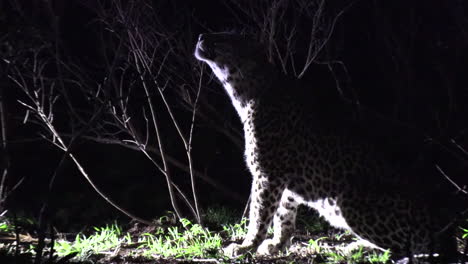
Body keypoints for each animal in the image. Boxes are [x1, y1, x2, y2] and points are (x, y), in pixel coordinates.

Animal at [194, 32, 460, 260]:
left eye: (225, 38)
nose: (201, 36)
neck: (246, 91)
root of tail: (442, 225)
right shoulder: (285, 181)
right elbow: (283, 215)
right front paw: (278, 244)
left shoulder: (267, 174)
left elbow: (259, 215)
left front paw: (245, 246)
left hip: (350, 200)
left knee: (403, 249)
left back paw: (357, 249)